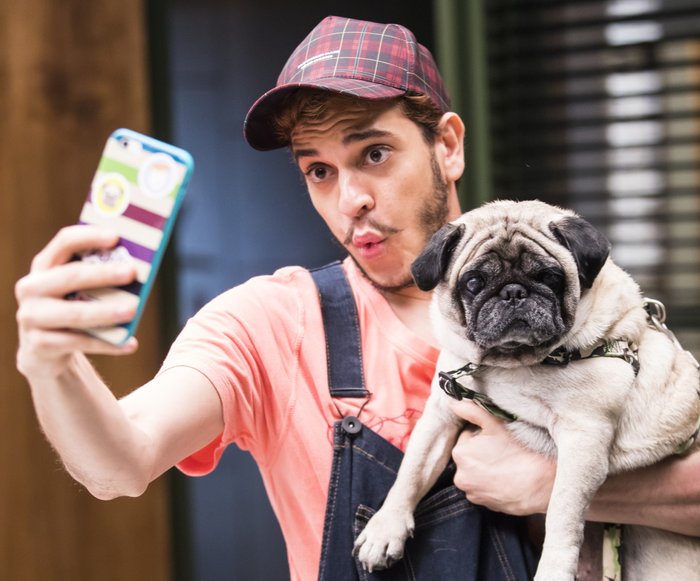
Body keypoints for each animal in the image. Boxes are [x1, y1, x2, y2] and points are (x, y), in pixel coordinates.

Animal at [356, 201, 700, 580]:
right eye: (473, 282)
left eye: (549, 277)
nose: (513, 292)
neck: (513, 364)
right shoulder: (441, 414)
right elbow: (412, 471)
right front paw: (385, 528)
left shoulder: (583, 438)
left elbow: (562, 514)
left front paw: (553, 569)